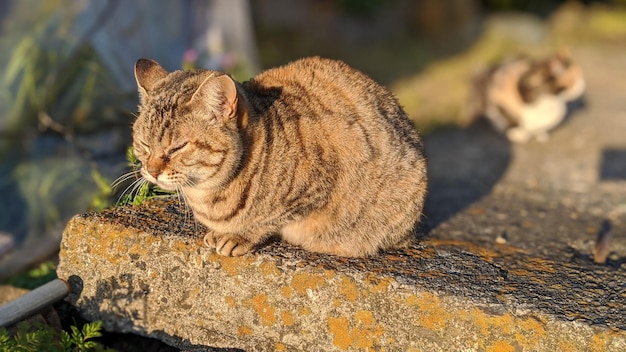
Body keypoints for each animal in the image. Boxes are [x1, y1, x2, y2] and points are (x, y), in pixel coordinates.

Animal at [129, 57, 426, 256]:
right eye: (143, 144)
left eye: (177, 147)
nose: (152, 170)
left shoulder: (316, 185)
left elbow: (268, 219)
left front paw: (239, 235)